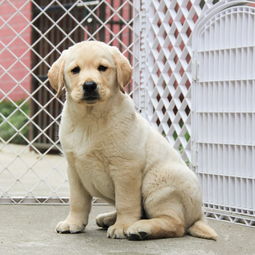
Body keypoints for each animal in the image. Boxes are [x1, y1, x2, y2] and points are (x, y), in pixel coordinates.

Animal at [47, 40, 217, 240]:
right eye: (75, 70)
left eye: (102, 68)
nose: (89, 85)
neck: (90, 120)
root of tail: (199, 215)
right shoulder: (74, 169)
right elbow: (77, 201)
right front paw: (73, 223)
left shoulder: (125, 168)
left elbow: (126, 201)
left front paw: (122, 226)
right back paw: (108, 218)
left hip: (159, 182)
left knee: (176, 224)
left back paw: (140, 229)